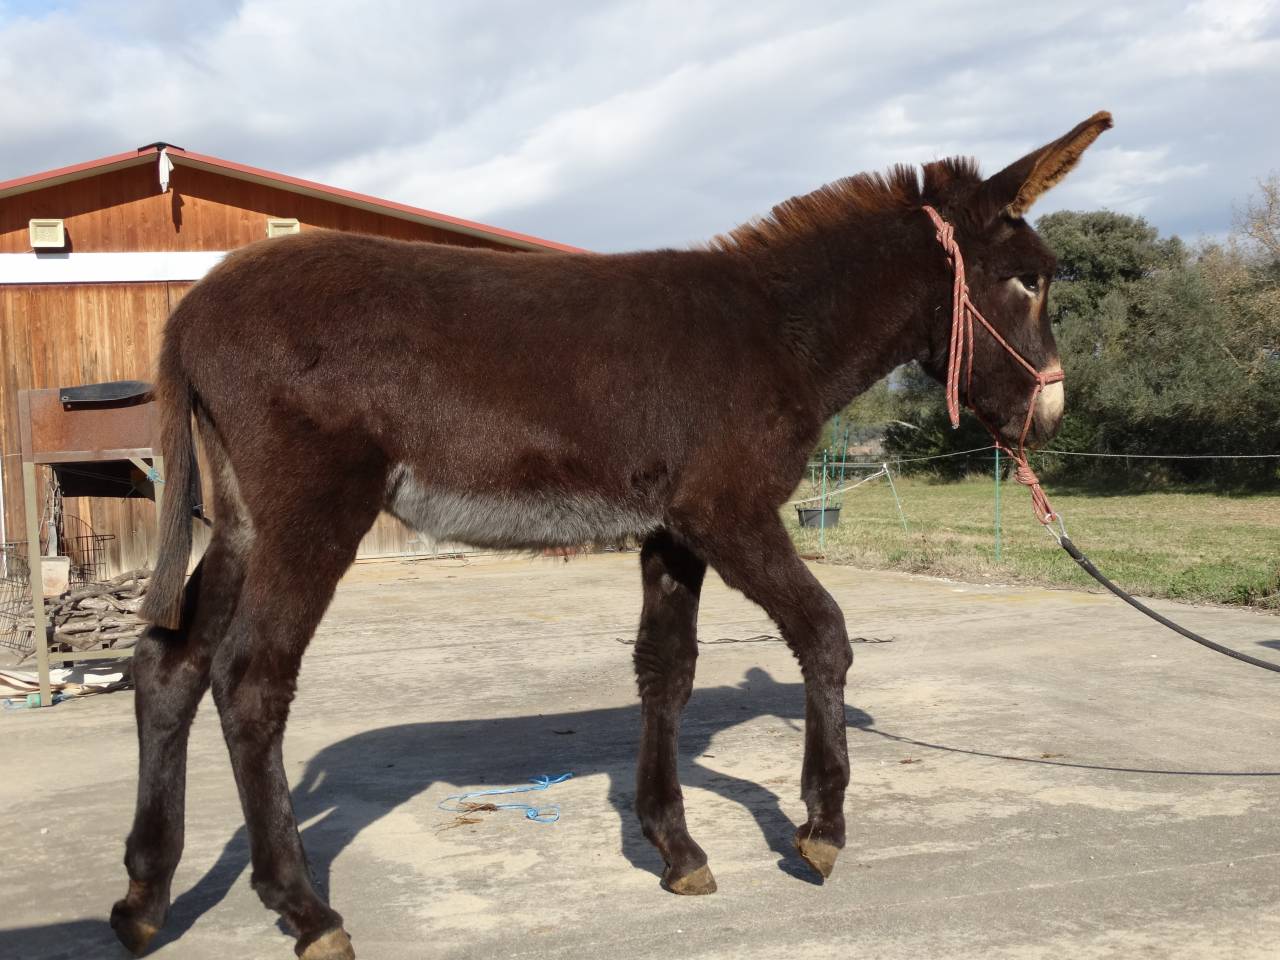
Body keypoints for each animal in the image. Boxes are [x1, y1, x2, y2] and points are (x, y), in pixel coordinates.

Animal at [111, 112, 1112, 959]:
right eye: (1028, 280)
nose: (1049, 417)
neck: (777, 332)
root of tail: (191, 309)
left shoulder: (673, 530)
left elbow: (665, 670)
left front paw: (676, 849)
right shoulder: (729, 512)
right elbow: (824, 633)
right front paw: (820, 832)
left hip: (243, 519)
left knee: (170, 664)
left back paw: (144, 900)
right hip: (313, 507)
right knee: (251, 680)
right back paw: (305, 909)